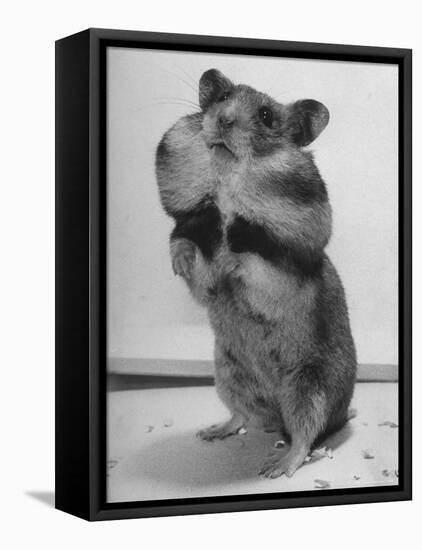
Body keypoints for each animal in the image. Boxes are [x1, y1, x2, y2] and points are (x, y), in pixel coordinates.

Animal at [155, 69, 356, 478]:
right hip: (228, 375)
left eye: (265, 116)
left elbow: (253, 265)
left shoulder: (285, 268)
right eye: (223, 97)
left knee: (304, 435)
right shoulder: (193, 234)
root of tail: (274, 415)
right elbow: (187, 251)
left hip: (308, 389)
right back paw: (212, 432)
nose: (223, 120)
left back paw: (276, 466)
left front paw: (232, 261)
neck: (226, 191)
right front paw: (181, 263)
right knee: (241, 415)